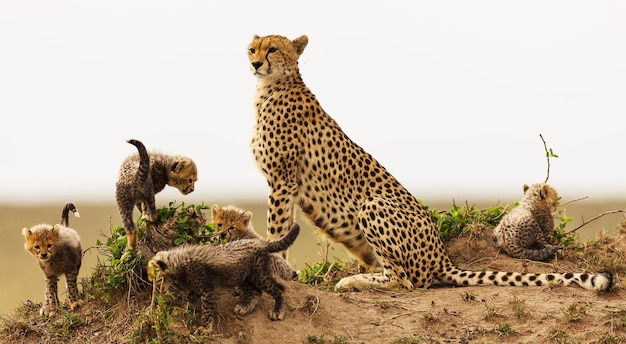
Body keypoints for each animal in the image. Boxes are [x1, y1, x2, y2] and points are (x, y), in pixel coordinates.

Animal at [149, 222, 300, 332]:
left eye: (159, 278)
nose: (158, 290)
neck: (179, 261)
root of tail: (260, 242)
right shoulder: (193, 287)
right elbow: (189, 300)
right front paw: (184, 312)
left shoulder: (207, 289)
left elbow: (206, 309)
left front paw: (205, 327)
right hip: (245, 275)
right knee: (256, 292)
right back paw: (244, 307)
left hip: (259, 275)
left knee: (279, 289)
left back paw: (277, 311)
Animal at [246, 34, 612, 292]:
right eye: (252, 49)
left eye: (273, 49)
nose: (255, 64)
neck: (272, 87)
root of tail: (441, 256)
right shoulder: (284, 183)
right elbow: (282, 230)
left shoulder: (282, 180)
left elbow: (277, 230)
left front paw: (275, 269)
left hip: (373, 205)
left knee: (405, 281)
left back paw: (353, 282)